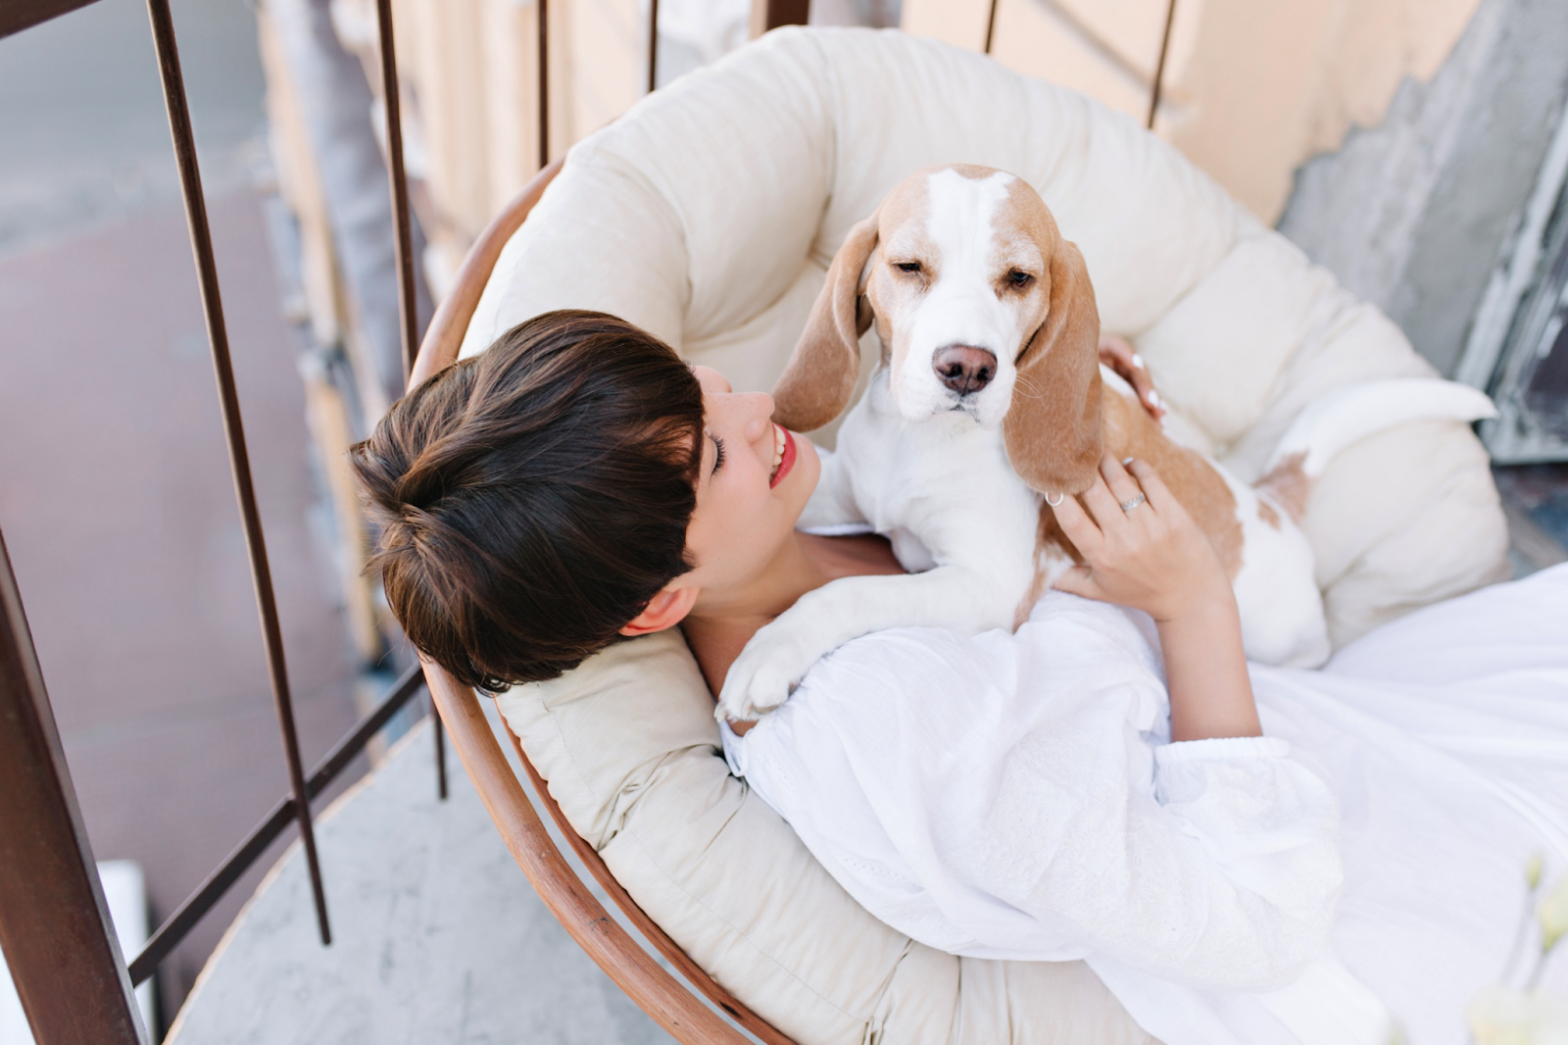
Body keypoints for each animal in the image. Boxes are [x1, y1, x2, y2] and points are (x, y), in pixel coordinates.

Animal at [711, 163, 1492, 721]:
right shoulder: (836, 493)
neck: (918, 441)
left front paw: (773, 648)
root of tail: (1272, 502)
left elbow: (848, 593)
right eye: (909, 267)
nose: (967, 369)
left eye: (1018, 278)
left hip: (1285, 633)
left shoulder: (986, 587)